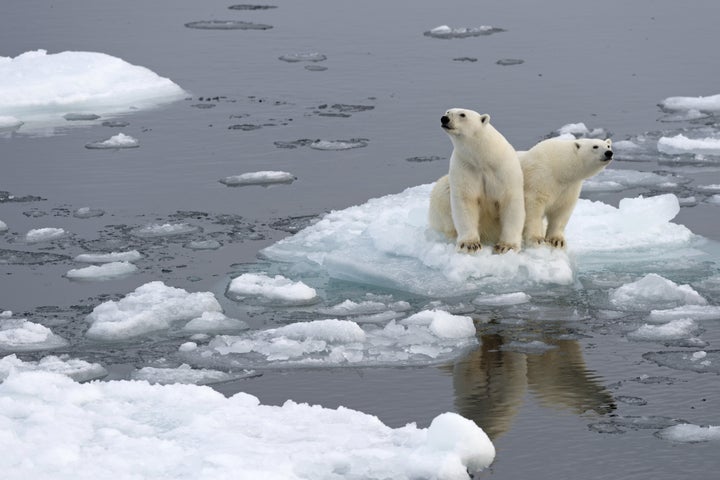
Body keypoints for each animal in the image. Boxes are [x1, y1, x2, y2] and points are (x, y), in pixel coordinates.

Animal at [428, 107, 524, 253]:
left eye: (462, 114)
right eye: (447, 111)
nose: (444, 119)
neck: (483, 158)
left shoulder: (503, 170)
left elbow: (510, 202)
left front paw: (506, 246)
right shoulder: (465, 168)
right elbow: (465, 200)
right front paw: (470, 244)